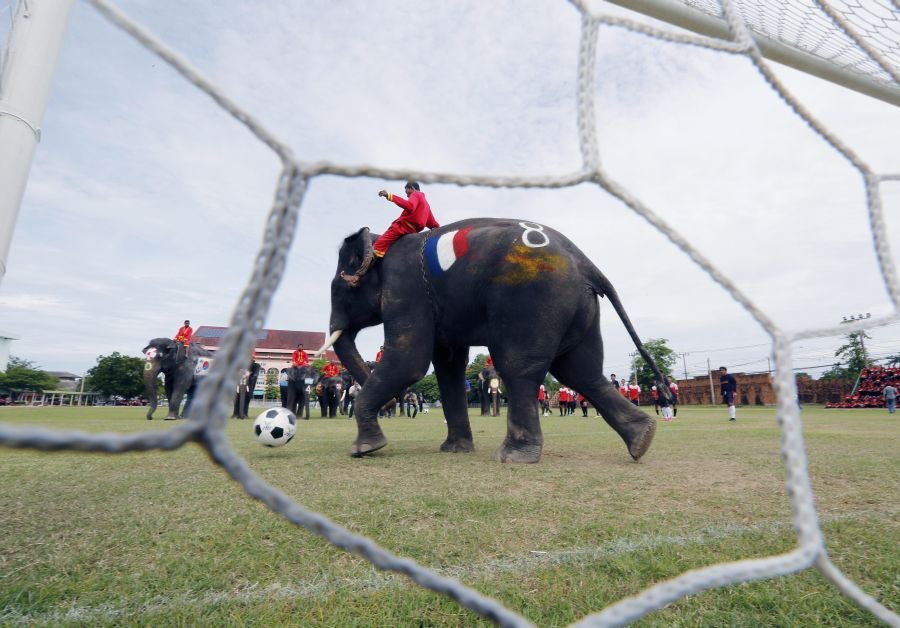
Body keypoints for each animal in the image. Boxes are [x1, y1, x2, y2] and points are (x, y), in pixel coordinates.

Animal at [321, 218, 669, 463]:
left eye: (338, 288)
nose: (395, 404)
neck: (381, 242)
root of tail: (586, 264)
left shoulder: (406, 290)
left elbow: (409, 362)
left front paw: (364, 450)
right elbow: (448, 365)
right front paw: (454, 450)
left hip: (532, 299)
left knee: (519, 368)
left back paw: (513, 457)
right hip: (579, 307)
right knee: (582, 372)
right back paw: (643, 439)